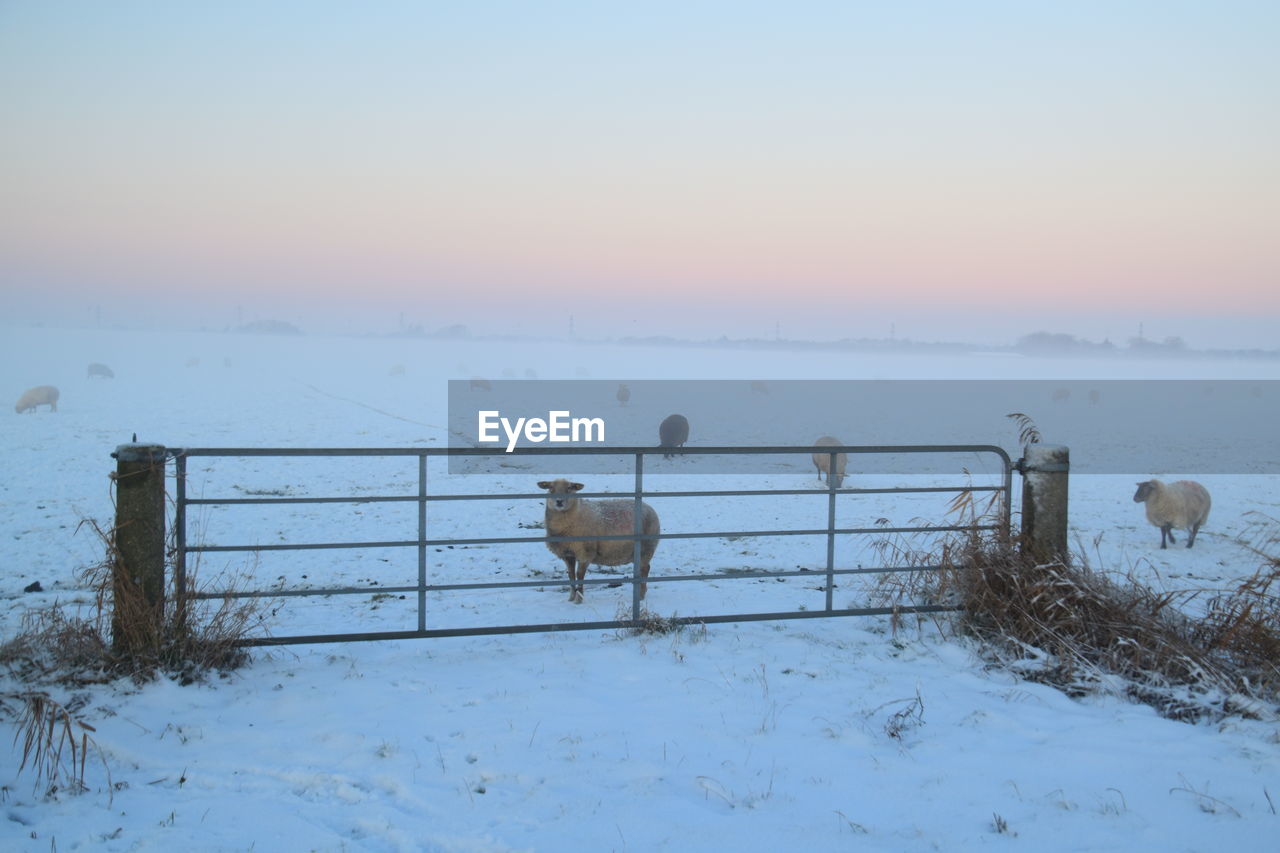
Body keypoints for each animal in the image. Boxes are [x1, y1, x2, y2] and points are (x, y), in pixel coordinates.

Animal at [537, 473, 660, 601]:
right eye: (550, 488)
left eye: (569, 488)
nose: (559, 502)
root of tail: (649, 508)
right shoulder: (568, 553)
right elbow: (571, 575)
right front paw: (571, 598)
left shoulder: (586, 552)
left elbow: (579, 575)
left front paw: (579, 599)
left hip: (647, 548)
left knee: (645, 569)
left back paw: (641, 595)